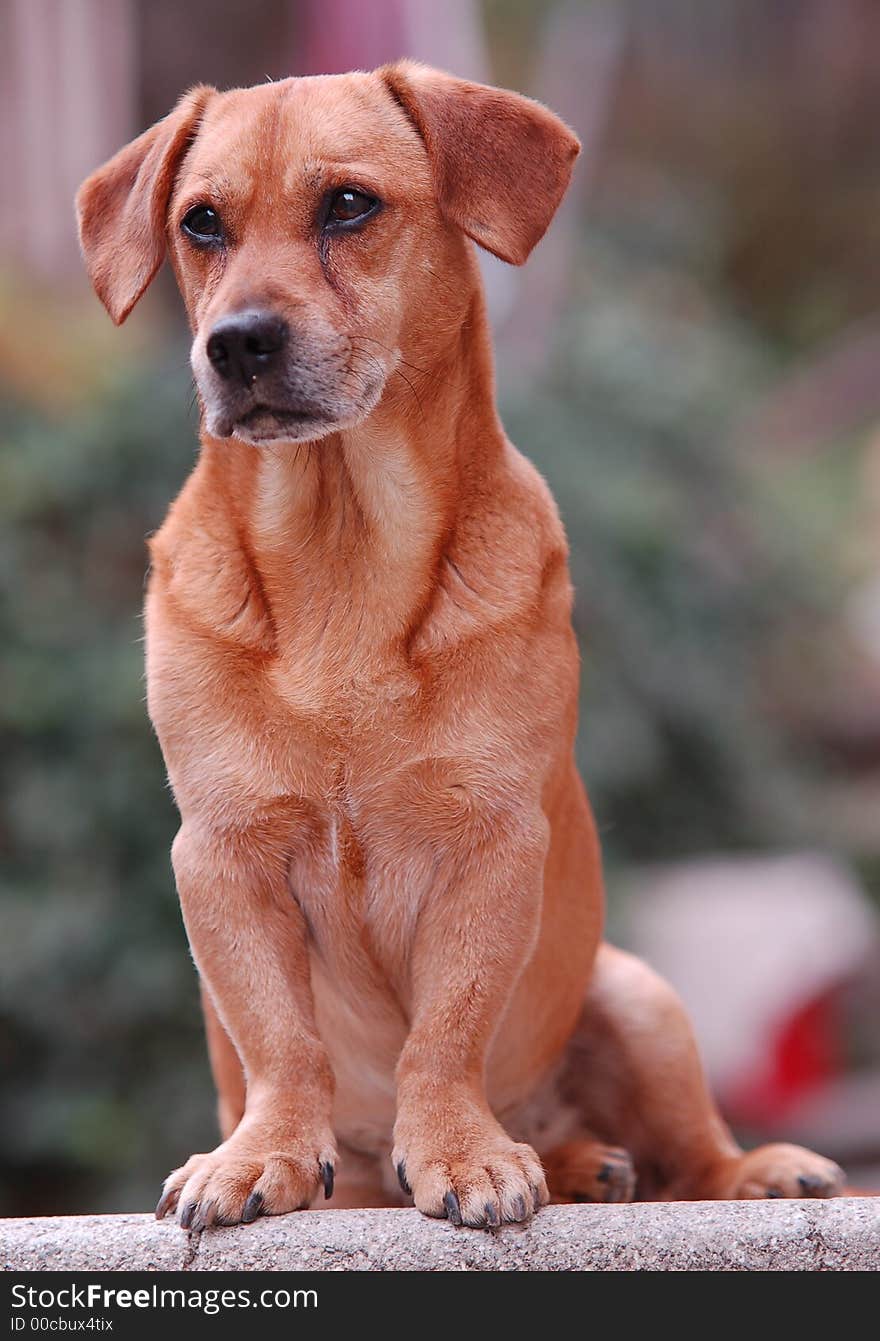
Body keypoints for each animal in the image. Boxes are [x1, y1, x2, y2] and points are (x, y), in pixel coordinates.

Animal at [77, 68, 847, 1228]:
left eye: (349, 205)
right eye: (199, 223)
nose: (238, 342)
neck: (342, 552)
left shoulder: (491, 844)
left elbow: (446, 1030)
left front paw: (457, 1149)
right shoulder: (222, 853)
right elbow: (279, 1037)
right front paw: (263, 1153)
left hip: (639, 997)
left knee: (685, 1147)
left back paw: (718, 1167)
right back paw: (572, 1163)